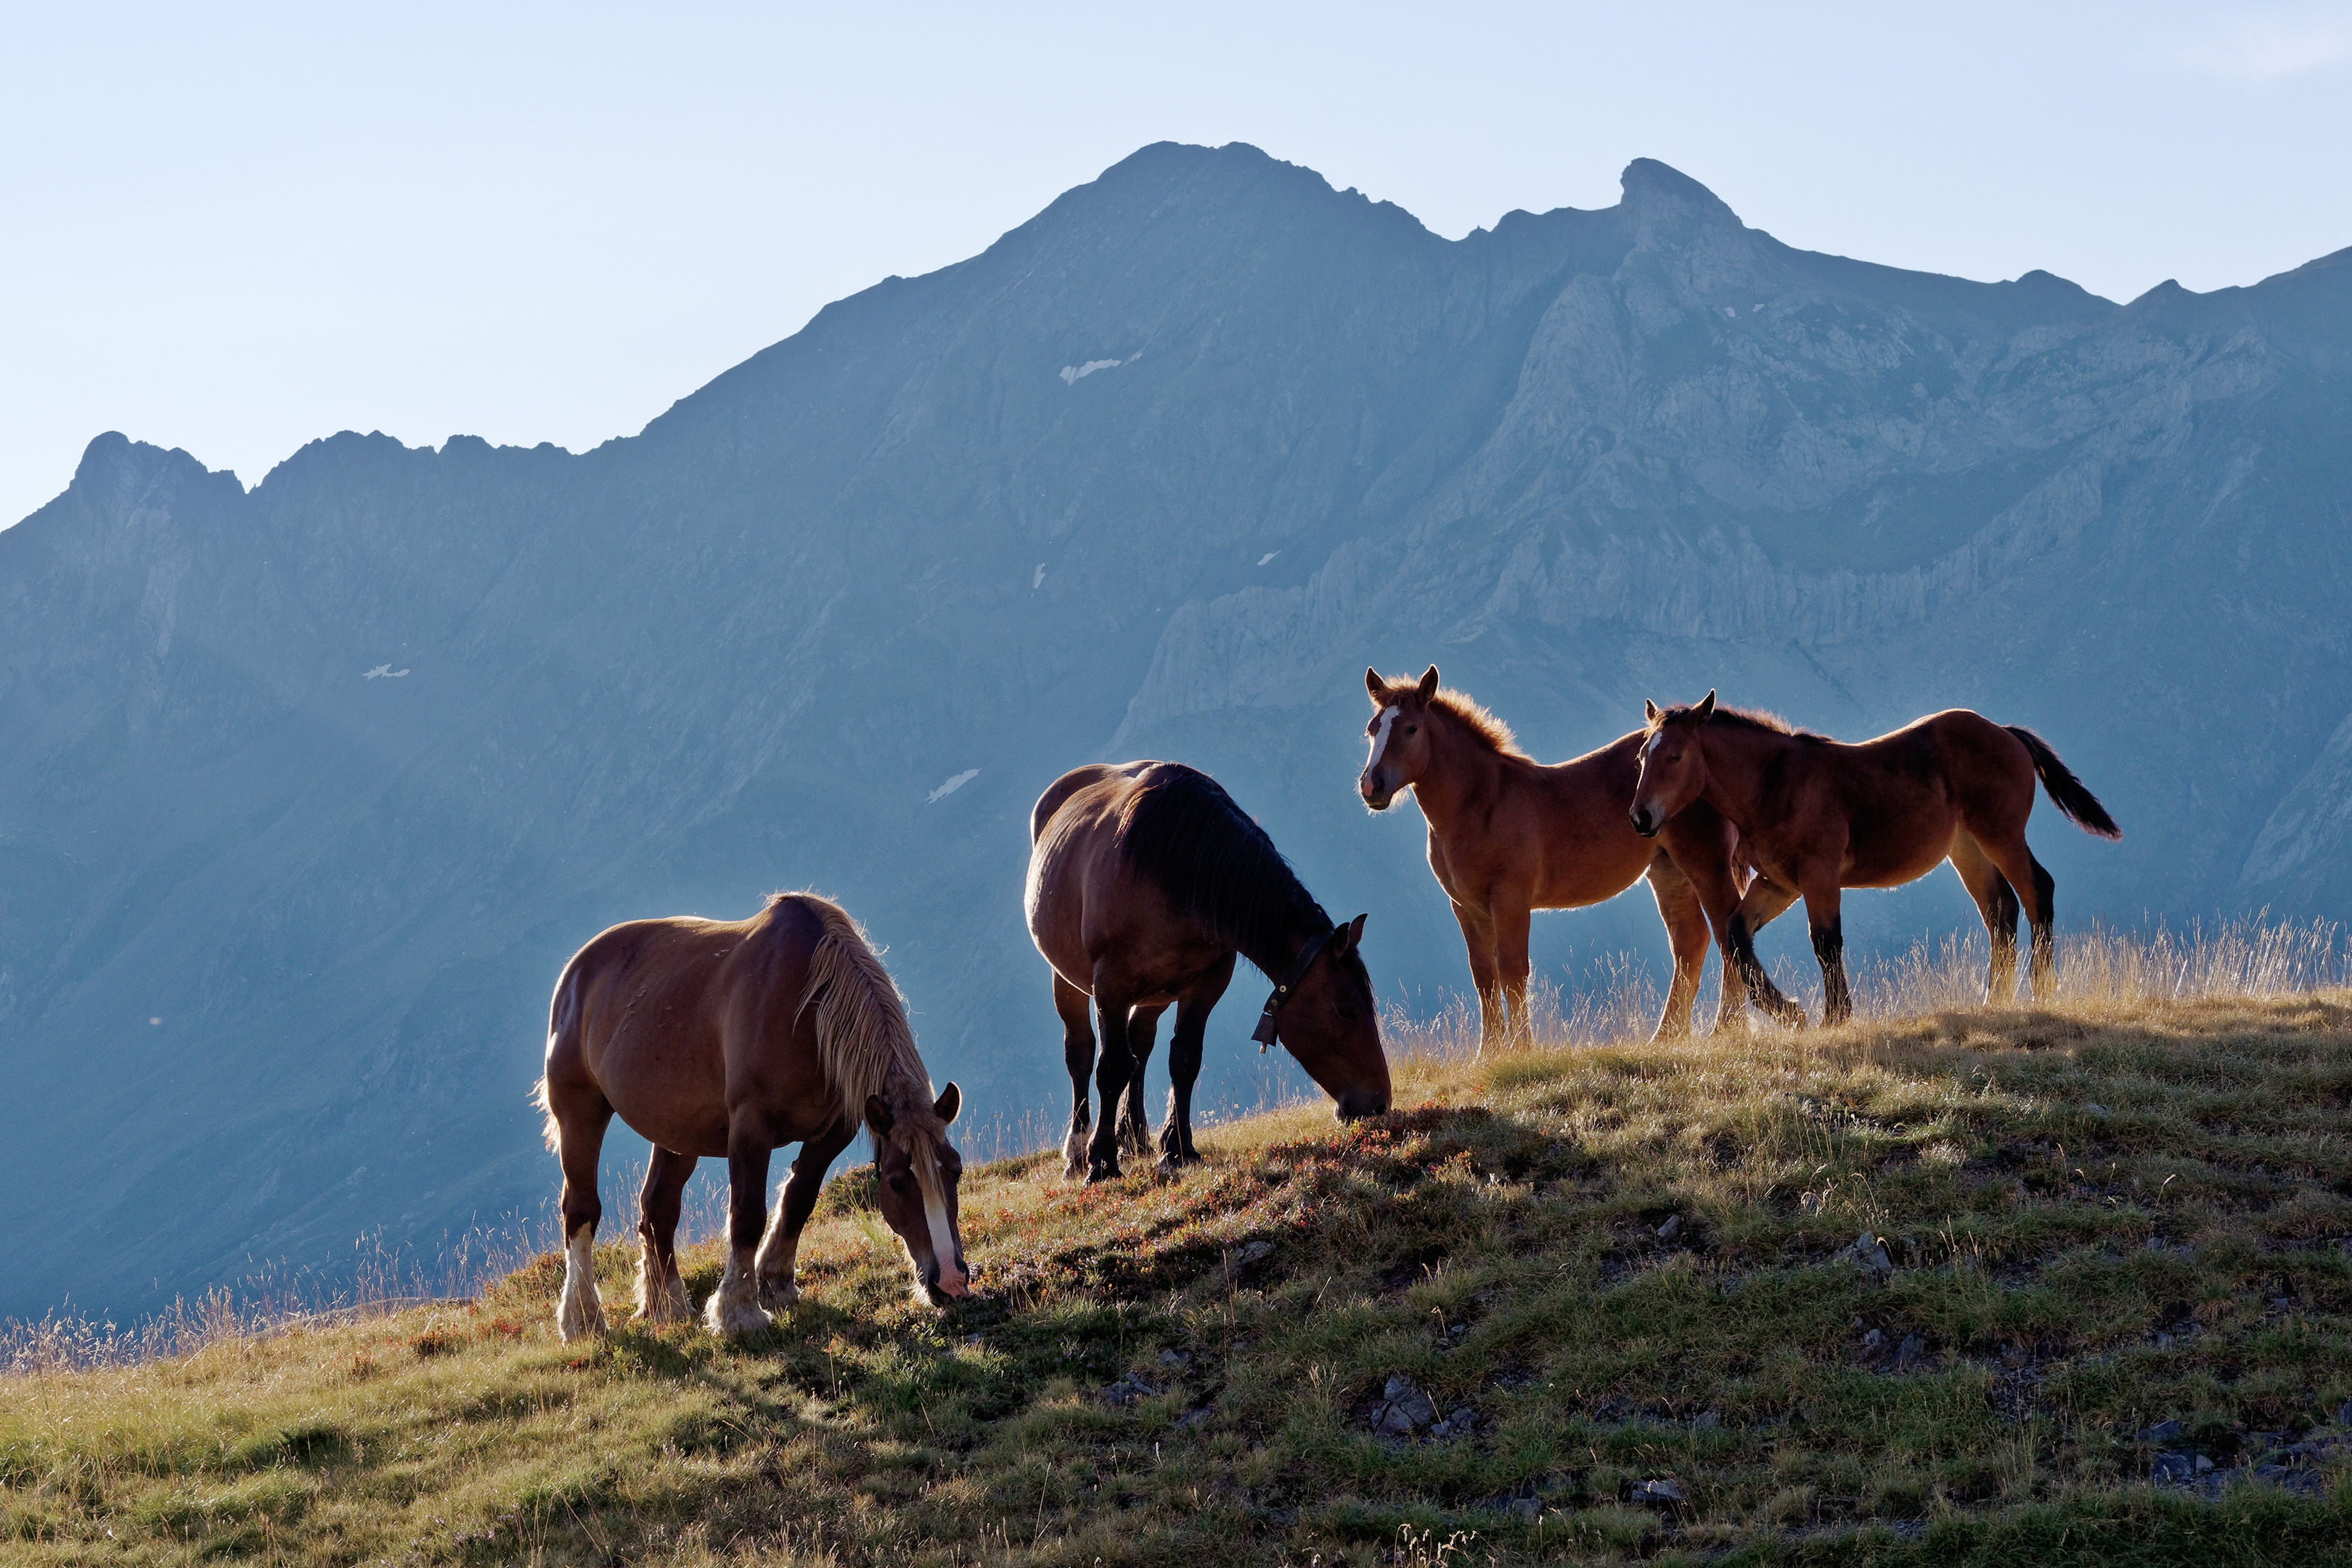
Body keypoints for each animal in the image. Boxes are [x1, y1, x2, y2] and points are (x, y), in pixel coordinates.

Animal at [534, 889, 964, 1344]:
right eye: (897, 1182)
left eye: (955, 1171)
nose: (951, 1281)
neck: (808, 1012)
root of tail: (578, 970)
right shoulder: (750, 1129)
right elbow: (747, 1217)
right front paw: (740, 1311)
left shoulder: (834, 1131)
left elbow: (799, 1199)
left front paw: (776, 1283)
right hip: (579, 1112)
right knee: (581, 1211)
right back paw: (582, 1319)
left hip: (678, 1133)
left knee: (658, 1210)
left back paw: (668, 1306)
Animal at [1021, 756, 1383, 1175]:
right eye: (1346, 1010)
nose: (1379, 1102)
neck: (1172, 863)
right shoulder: (1110, 985)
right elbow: (1110, 1066)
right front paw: (1102, 1162)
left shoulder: (1207, 984)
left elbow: (1184, 1059)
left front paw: (1177, 1149)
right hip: (1068, 980)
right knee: (1081, 1052)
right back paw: (1079, 1149)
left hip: (1156, 993)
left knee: (1140, 1047)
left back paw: (1134, 1136)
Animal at [1355, 667, 1759, 1048]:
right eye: (1372, 729)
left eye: (1411, 728)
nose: (1372, 785)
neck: (1481, 802)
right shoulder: (1466, 907)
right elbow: (1483, 975)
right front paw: (1489, 1052)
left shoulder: (1510, 899)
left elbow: (1513, 970)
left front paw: (1520, 1047)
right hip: (1668, 869)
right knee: (1690, 940)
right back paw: (1667, 1036)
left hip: (1706, 862)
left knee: (1726, 930)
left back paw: (1726, 1028)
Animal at [1628, 691, 2126, 1024]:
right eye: (1640, 757)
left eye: (1675, 756)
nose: (1640, 817)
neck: (1773, 786)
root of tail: (2006, 733)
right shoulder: (1779, 884)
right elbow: (1736, 936)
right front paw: (1789, 1011)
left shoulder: (1819, 876)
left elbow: (1826, 943)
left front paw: (1835, 1017)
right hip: (1967, 848)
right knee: (2000, 909)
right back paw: (1996, 1000)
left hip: (2001, 835)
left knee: (2037, 890)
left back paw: (2042, 992)